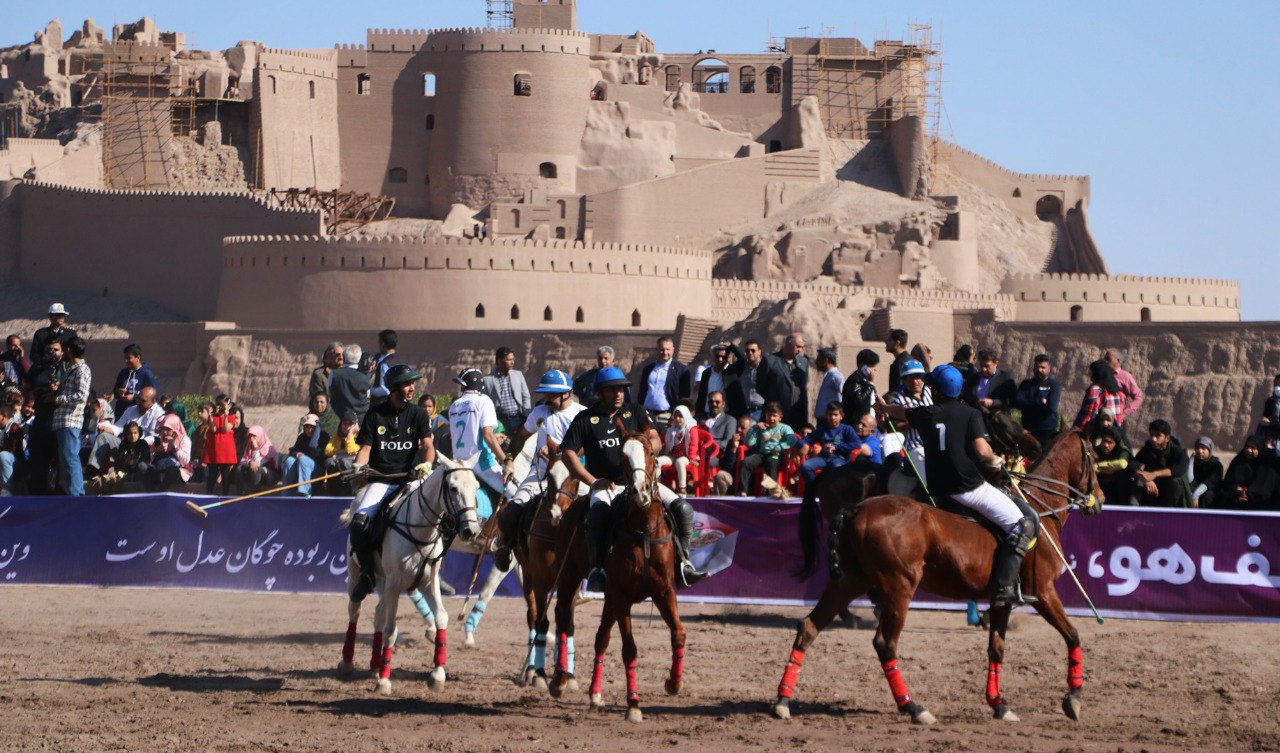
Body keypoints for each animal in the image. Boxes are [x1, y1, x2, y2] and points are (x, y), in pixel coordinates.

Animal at [335, 453, 481, 696]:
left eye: (476, 487)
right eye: (453, 488)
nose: (471, 531)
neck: (421, 530)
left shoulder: (428, 581)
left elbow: (441, 617)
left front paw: (437, 675)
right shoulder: (395, 583)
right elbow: (391, 630)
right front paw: (384, 682)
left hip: (382, 580)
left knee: (378, 612)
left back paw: (374, 665)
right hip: (356, 571)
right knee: (354, 609)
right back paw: (347, 663)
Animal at [588, 427, 691, 722]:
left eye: (652, 453)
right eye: (623, 456)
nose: (640, 491)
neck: (644, 529)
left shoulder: (664, 590)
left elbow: (678, 632)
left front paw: (674, 683)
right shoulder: (621, 594)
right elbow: (629, 649)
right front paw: (633, 704)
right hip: (610, 595)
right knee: (602, 639)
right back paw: (594, 694)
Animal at [773, 432, 1105, 727]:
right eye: (1093, 457)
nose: (1100, 500)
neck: (1041, 509)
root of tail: (855, 508)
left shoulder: (1003, 599)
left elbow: (996, 648)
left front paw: (999, 704)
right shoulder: (1044, 592)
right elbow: (1073, 635)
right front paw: (1074, 698)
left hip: (851, 580)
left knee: (810, 626)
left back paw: (783, 700)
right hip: (899, 586)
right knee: (885, 643)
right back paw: (913, 707)